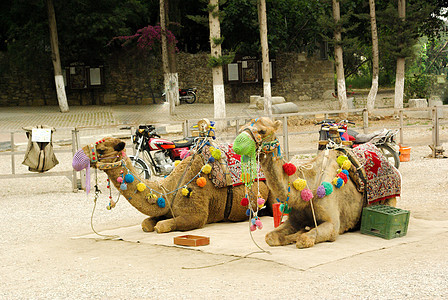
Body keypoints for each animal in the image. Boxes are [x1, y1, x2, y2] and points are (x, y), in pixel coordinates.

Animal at [72, 137, 272, 233]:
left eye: (101, 149)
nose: (77, 158)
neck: (169, 190)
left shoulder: (197, 216)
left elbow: (161, 227)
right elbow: (146, 223)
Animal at [233, 117, 398, 248]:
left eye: (262, 130)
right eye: (241, 129)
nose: (237, 144)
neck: (310, 185)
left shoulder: (333, 224)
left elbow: (304, 239)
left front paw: (298, 235)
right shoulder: (294, 219)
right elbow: (270, 237)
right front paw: (294, 234)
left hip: (389, 199)